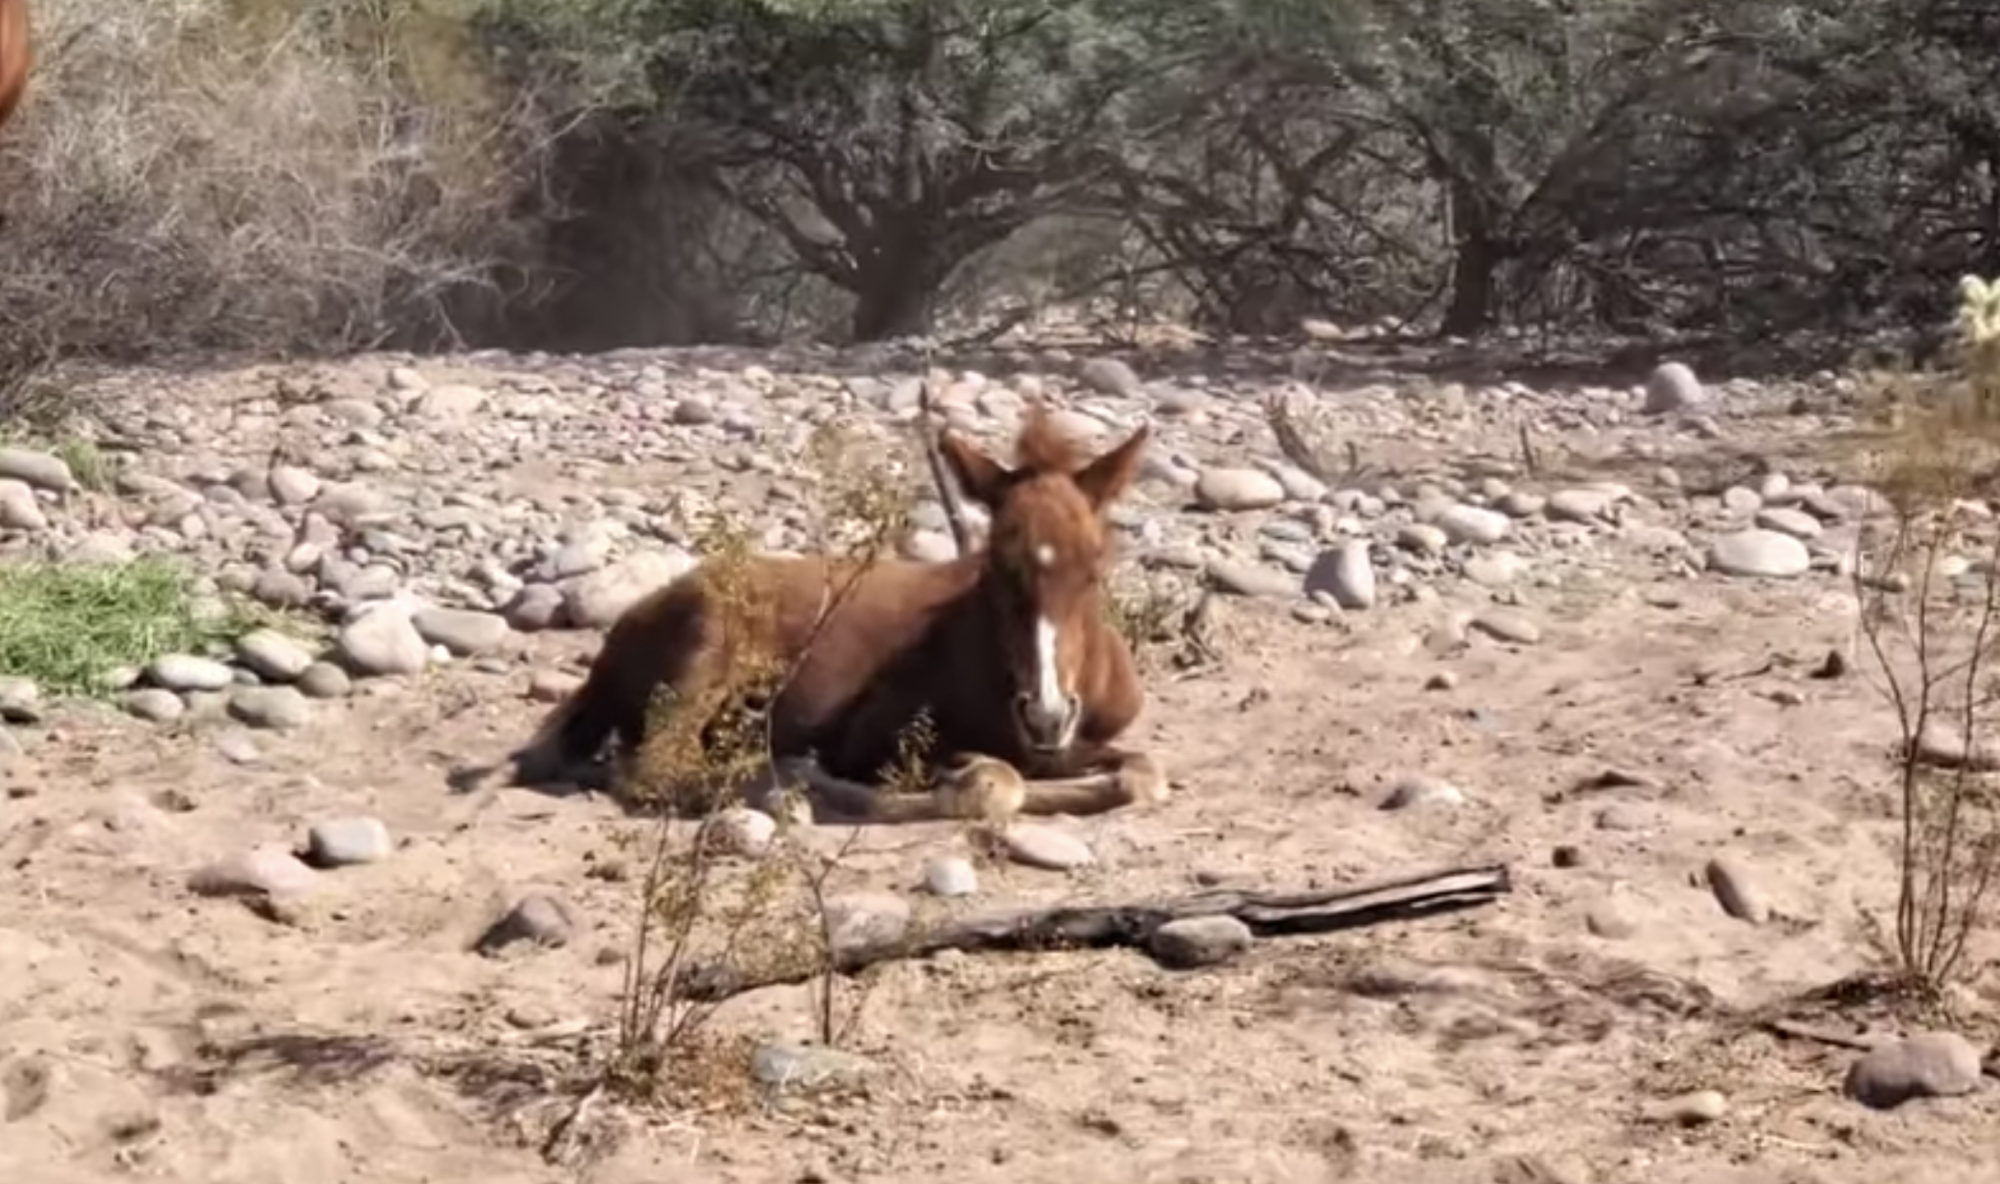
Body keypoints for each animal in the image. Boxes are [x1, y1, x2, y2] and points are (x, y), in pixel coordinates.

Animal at [500, 398, 1169, 823]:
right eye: (995, 568)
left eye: (1095, 568)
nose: (1047, 715)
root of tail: (628, 624)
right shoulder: (873, 735)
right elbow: (993, 784)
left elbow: (1140, 774)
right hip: (704, 660)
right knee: (658, 767)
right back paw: (785, 780)